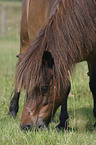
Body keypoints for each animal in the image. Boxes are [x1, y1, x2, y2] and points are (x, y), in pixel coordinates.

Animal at [9, 0, 96, 131]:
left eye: (44, 88)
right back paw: (12, 110)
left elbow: (93, 85)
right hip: (25, 42)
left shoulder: (92, 56)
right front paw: (62, 123)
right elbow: (67, 86)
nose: (26, 126)